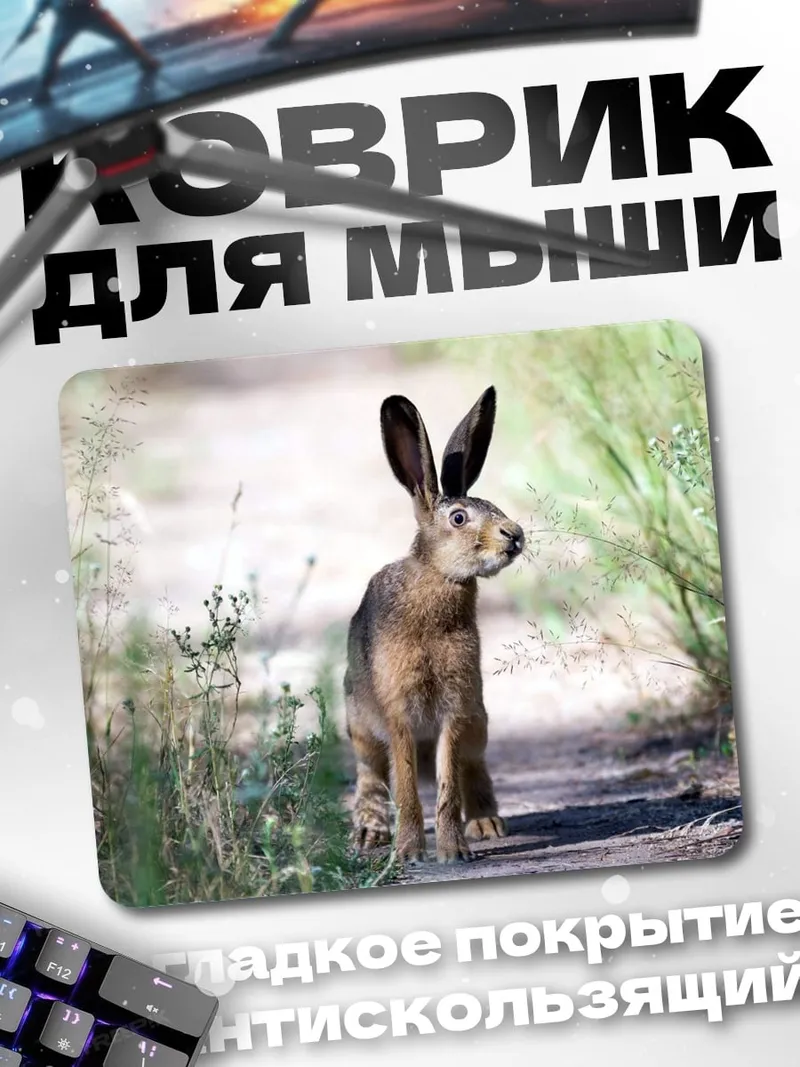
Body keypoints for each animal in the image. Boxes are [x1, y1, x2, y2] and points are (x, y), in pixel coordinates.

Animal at [343, 385, 525, 864]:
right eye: (459, 518)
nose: (515, 535)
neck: (438, 578)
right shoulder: (398, 713)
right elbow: (406, 787)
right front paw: (409, 851)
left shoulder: (454, 710)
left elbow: (446, 785)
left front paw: (454, 852)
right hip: (360, 725)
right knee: (371, 774)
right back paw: (369, 832)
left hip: (478, 720)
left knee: (473, 767)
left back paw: (486, 824)